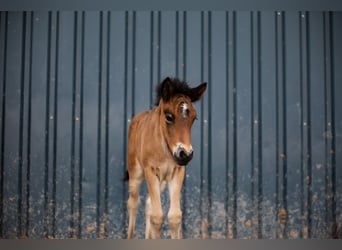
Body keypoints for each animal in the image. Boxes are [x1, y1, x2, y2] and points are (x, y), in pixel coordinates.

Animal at [125, 76, 206, 238]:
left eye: (194, 118)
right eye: (169, 117)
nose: (185, 155)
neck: (165, 151)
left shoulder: (177, 172)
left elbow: (174, 217)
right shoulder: (150, 170)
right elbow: (157, 217)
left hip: (162, 179)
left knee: (149, 203)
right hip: (135, 172)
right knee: (133, 203)